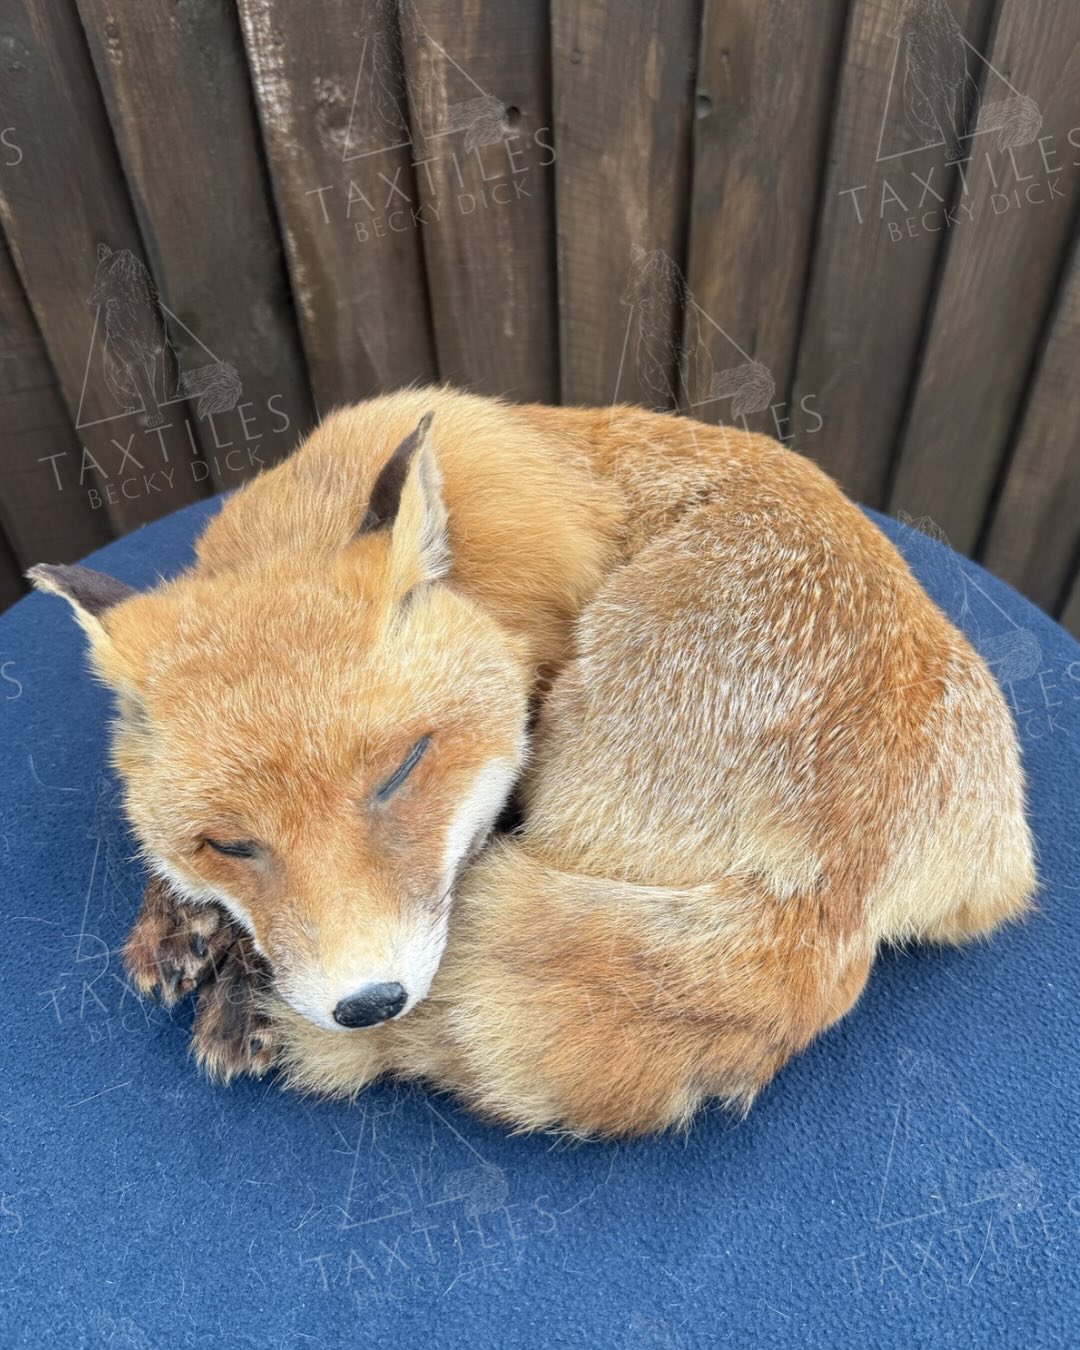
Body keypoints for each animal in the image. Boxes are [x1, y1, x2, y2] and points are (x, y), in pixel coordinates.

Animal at [29, 388, 1036, 1137]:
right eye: (229, 846)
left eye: (402, 771)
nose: (369, 1004)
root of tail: (839, 885)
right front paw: (179, 917)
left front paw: (237, 981)